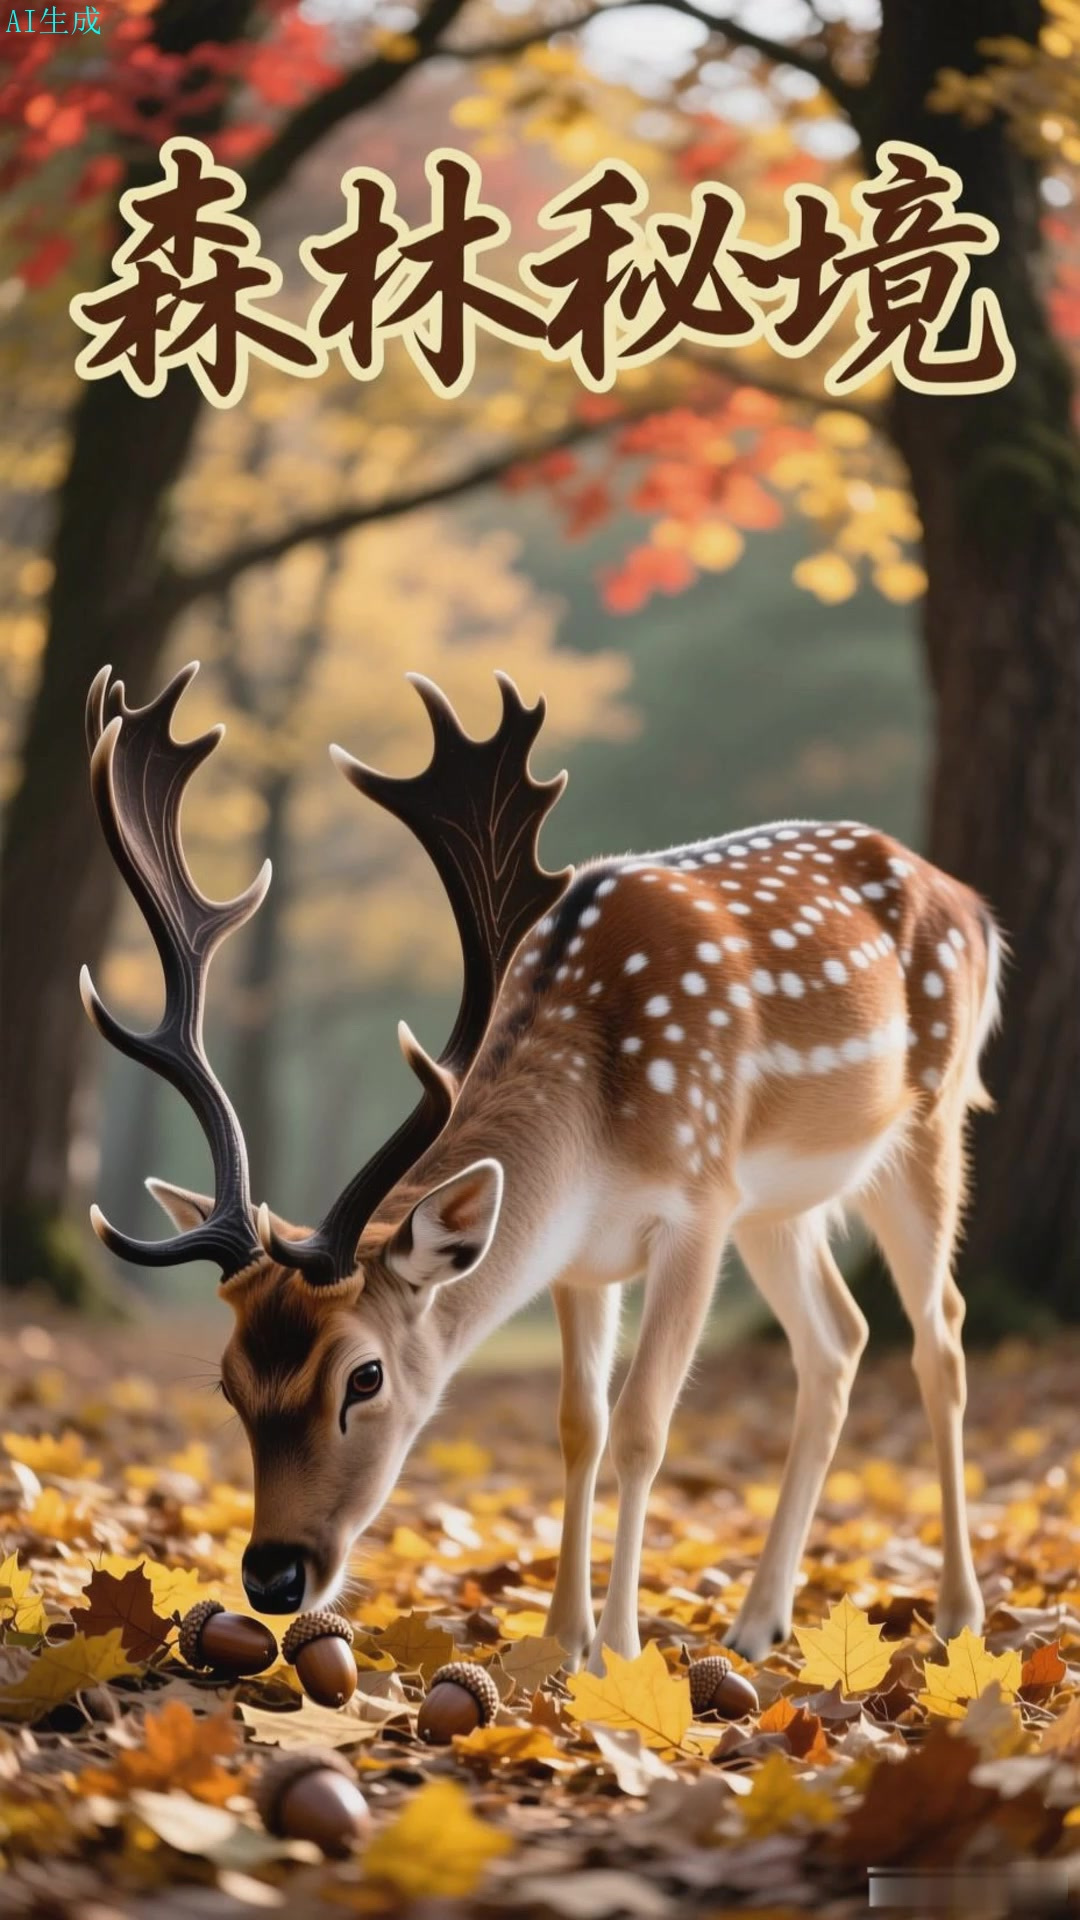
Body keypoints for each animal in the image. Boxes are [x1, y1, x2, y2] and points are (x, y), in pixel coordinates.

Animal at [81, 661, 1001, 1670]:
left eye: (363, 1376)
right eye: (229, 1379)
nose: (273, 1576)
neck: (593, 1136)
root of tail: (974, 906)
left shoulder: (699, 1202)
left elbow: (641, 1427)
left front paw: (619, 1651)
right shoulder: (583, 1258)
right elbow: (579, 1425)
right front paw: (560, 1641)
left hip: (929, 1124)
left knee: (942, 1337)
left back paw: (959, 1613)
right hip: (780, 1207)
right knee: (838, 1339)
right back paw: (759, 1621)